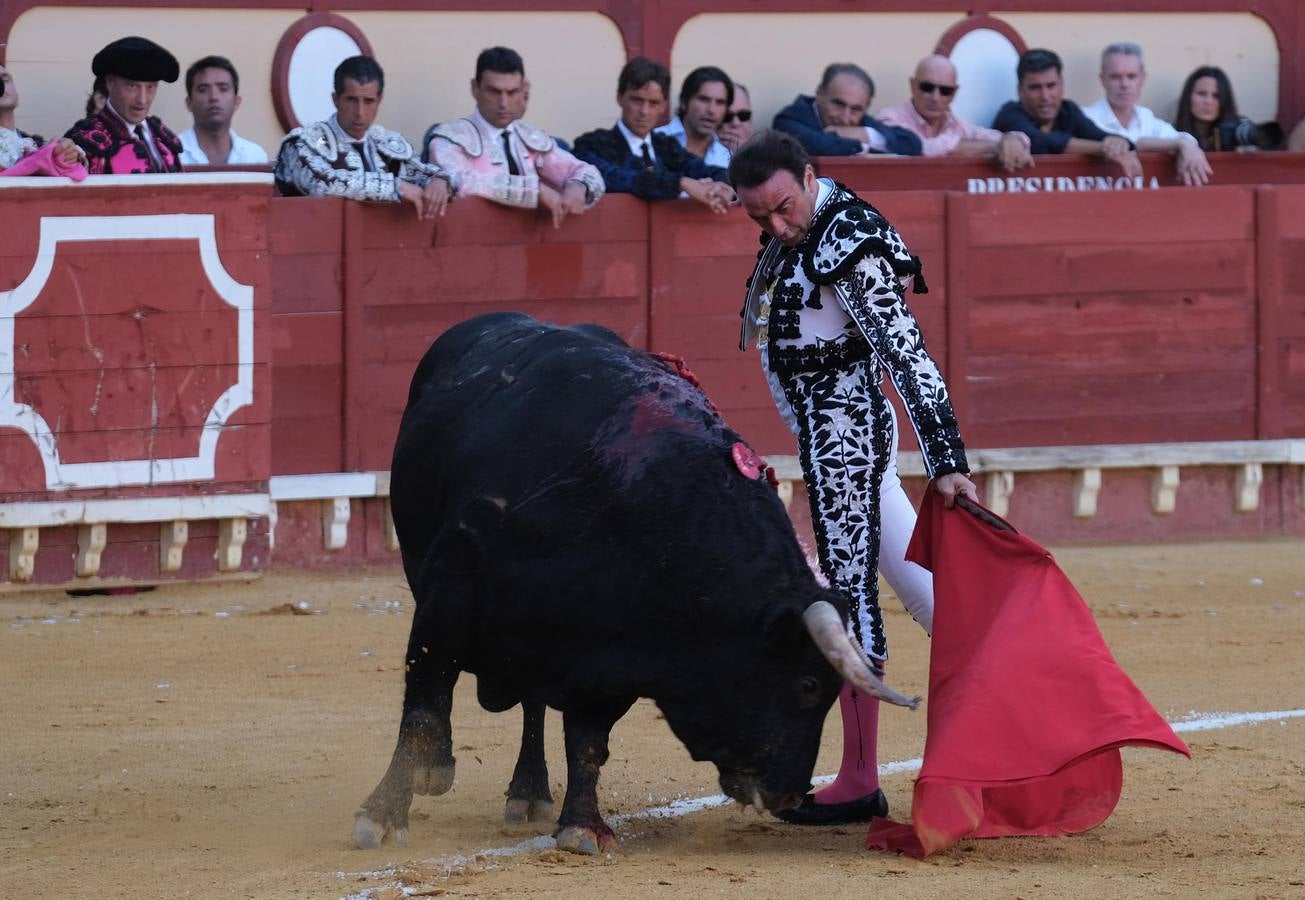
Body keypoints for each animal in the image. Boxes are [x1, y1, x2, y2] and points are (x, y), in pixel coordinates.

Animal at [352, 311, 913, 850]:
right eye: (807, 685)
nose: (792, 793)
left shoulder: (610, 655)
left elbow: (587, 742)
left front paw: (582, 826)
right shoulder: (449, 595)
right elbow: (423, 710)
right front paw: (381, 816)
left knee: (533, 705)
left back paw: (529, 791)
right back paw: (437, 773)